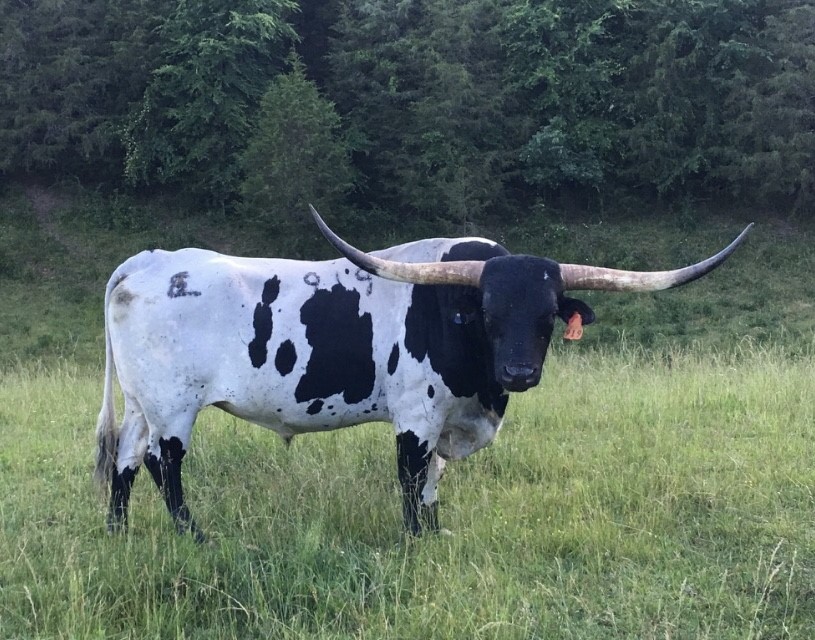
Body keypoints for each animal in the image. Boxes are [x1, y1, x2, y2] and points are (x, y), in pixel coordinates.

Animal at [94, 207, 752, 540]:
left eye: (546, 317)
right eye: (487, 313)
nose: (518, 371)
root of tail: (150, 261)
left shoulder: (446, 421)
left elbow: (434, 481)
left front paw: (435, 534)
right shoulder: (415, 415)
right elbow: (412, 480)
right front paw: (413, 540)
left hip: (143, 402)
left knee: (125, 459)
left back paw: (118, 532)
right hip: (175, 405)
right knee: (164, 466)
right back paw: (194, 535)